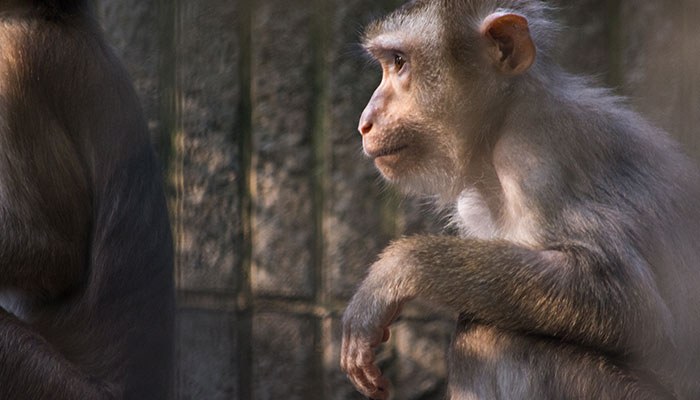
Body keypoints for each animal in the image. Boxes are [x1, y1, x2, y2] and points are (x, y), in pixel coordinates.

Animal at [342, 0, 700, 400]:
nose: (364, 121)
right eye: (388, 62)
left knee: (487, 335)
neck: (503, 121)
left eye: (400, 61)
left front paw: (396, 270)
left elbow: (628, 300)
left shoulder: (536, 160)